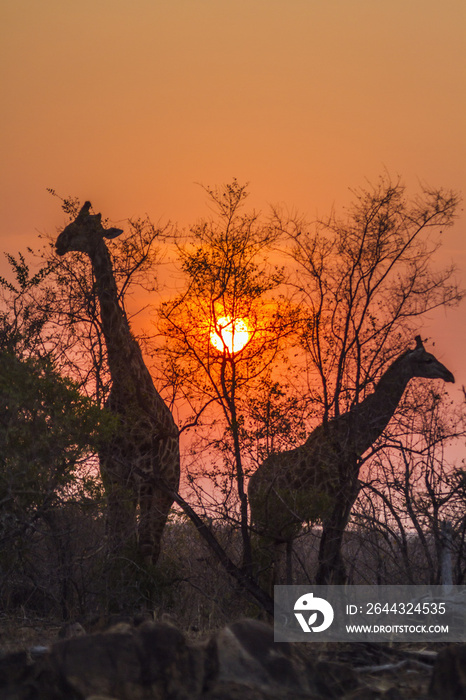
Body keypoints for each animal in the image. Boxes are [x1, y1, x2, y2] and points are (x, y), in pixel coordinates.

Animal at [54, 201, 178, 564]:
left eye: (86, 226)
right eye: (74, 221)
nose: (60, 241)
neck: (125, 384)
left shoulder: (142, 474)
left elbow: (134, 545)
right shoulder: (112, 472)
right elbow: (114, 543)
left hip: (167, 487)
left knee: (150, 546)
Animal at [249, 336, 454, 588]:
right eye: (427, 360)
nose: (449, 375)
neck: (353, 444)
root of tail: (250, 486)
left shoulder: (345, 505)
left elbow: (335, 566)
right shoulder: (331, 505)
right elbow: (327, 564)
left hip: (280, 524)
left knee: (271, 564)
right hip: (264, 518)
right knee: (259, 561)